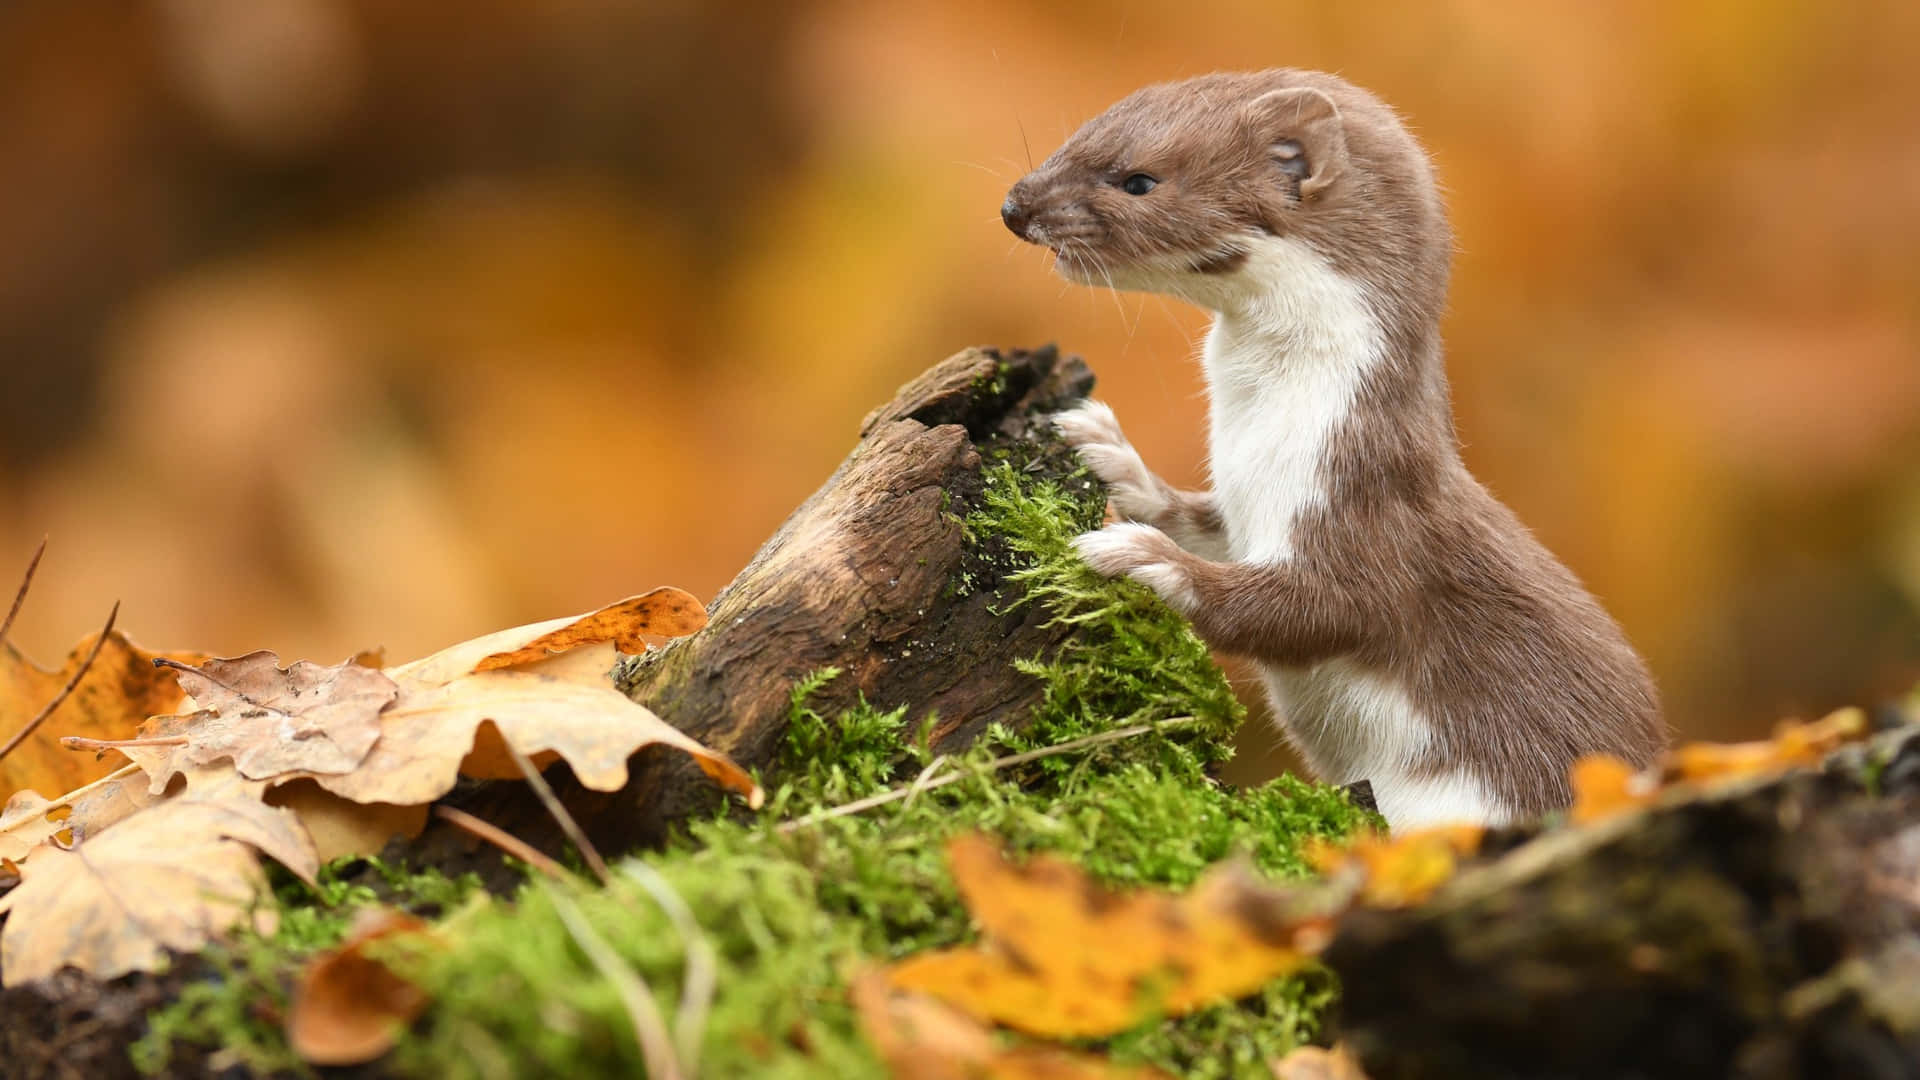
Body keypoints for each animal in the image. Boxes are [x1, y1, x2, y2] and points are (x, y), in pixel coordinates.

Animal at [1006, 69, 1666, 822]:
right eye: (1084, 131)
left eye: (1138, 180)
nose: (1014, 205)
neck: (1257, 434)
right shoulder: (1246, 504)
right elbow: (1200, 520)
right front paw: (1108, 449)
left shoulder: (1364, 498)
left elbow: (1317, 609)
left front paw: (1143, 557)